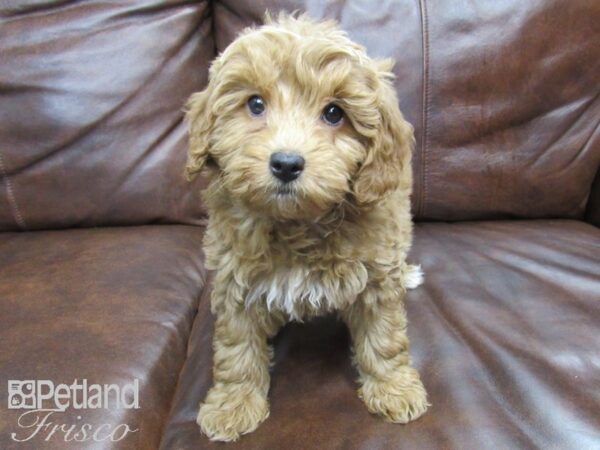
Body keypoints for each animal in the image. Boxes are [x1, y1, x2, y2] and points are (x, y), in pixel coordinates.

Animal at [185, 12, 428, 442]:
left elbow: (384, 337)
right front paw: (232, 405)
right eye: (255, 104)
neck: (298, 223)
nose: (286, 163)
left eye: (334, 113)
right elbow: (236, 345)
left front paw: (394, 389)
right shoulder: (234, 280)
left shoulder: (376, 275)